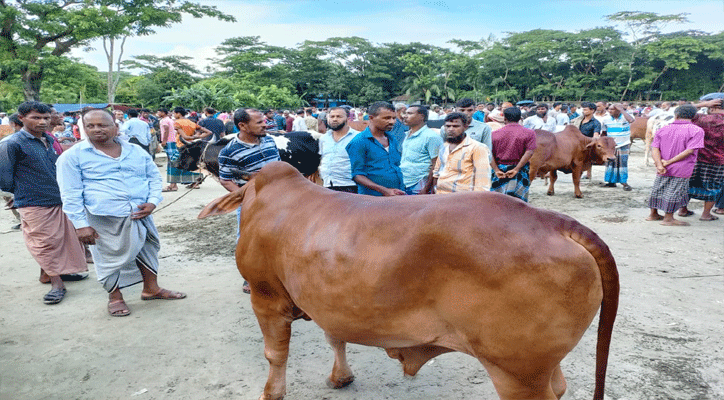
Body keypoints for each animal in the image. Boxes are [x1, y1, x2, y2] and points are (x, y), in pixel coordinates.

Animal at [199, 161, 624, 398]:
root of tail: (553, 222)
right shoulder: (327, 302)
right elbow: (335, 336)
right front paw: (341, 377)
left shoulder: (265, 295)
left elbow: (275, 354)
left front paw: (271, 394)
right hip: (541, 367)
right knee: (561, 386)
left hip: (517, 373)